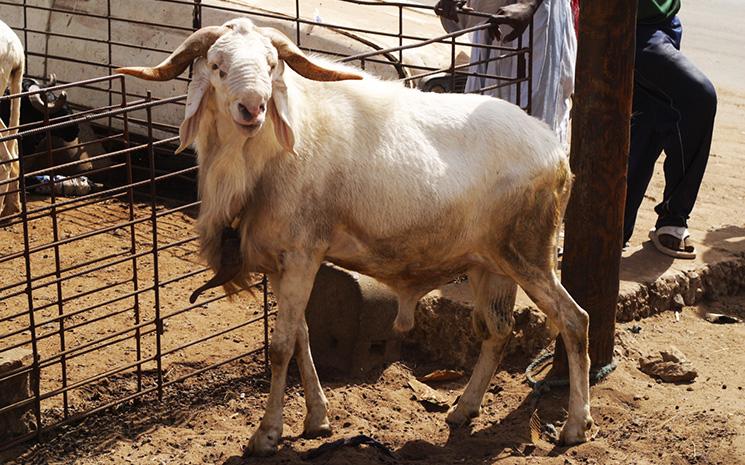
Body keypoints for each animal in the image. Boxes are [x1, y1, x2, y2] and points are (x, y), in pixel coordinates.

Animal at [117, 17, 593, 456]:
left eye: (271, 65)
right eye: (217, 66)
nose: (252, 108)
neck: (269, 155)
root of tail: (556, 153)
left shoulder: (302, 253)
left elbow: (280, 346)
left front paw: (266, 435)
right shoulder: (281, 262)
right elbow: (302, 336)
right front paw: (317, 420)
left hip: (530, 252)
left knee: (574, 321)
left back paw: (575, 427)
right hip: (488, 263)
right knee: (497, 331)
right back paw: (464, 410)